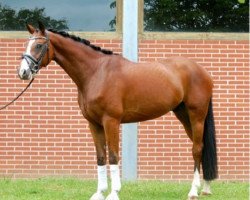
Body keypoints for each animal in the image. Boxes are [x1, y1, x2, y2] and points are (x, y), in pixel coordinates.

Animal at [17, 21, 217, 200]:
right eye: (27, 44)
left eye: (39, 45)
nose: (23, 72)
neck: (96, 72)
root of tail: (203, 71)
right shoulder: (94, 124)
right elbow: (100, 157)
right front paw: (99, 193)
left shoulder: (110, 121)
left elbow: (113, 156)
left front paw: (114, 193)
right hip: (183, 114)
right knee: (201, 147)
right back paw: (206, 188)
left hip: (196, 115)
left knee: (197, 149)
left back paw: (193, 191)